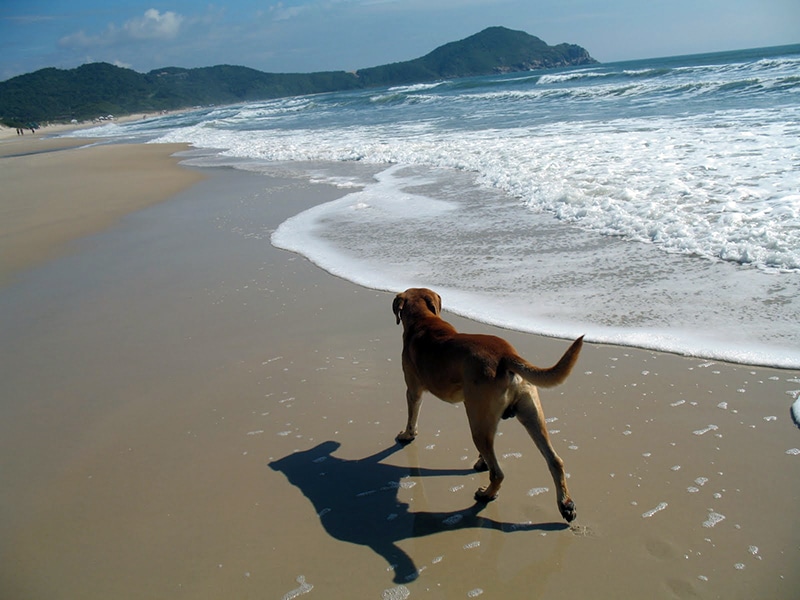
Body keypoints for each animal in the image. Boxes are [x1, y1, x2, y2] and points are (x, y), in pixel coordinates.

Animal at [392, 288, 584, 524]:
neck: (424, 320)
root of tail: (506, 356)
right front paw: (481, 462)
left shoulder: (413, 389)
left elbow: (412, 416)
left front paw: (407, 435)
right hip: (530, 414)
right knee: (554, 460)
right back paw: (565, 504)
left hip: (477, 422)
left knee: (498, 472)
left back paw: (487, 494)